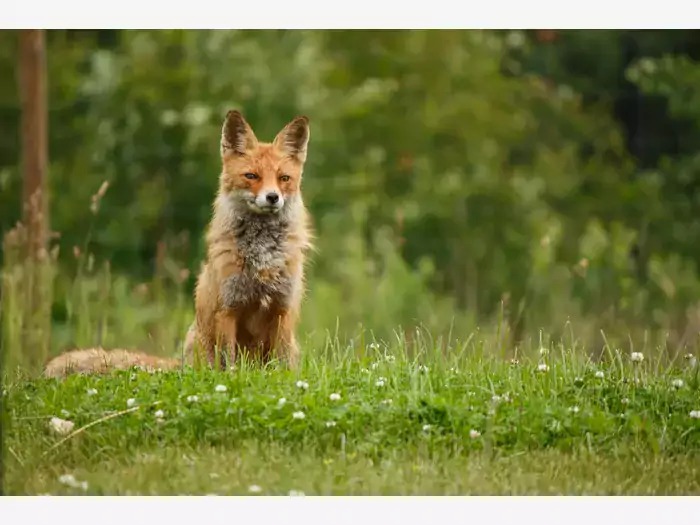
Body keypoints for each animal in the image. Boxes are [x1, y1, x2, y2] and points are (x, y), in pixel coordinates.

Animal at [41, 111, 312, 380]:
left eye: (284, 178)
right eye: (251, 176)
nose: (272, 197)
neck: (263, 258)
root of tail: (181, 364)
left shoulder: (282, 309)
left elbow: (280, 364)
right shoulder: (228, 308)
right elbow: (229, 363)